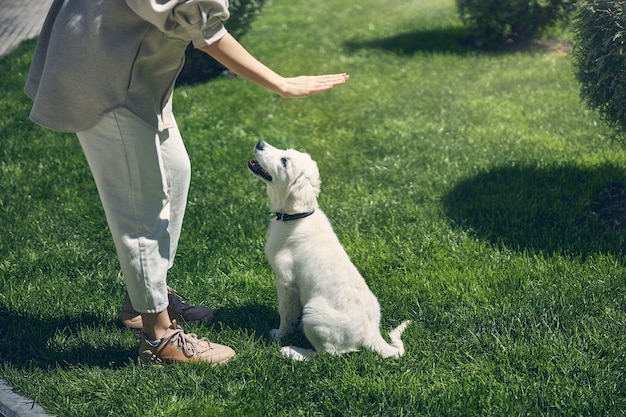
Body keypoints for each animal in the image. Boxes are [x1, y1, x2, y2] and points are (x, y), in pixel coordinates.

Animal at [246, 141, 412, 360]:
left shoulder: (286, 281)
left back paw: (293, 351)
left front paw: (279, 335)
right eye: (285, 151)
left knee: (326, 354)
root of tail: (371, 335)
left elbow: (286, 314)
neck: (297, 218)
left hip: (312, 312)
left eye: (284, 161)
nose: (260, 143)